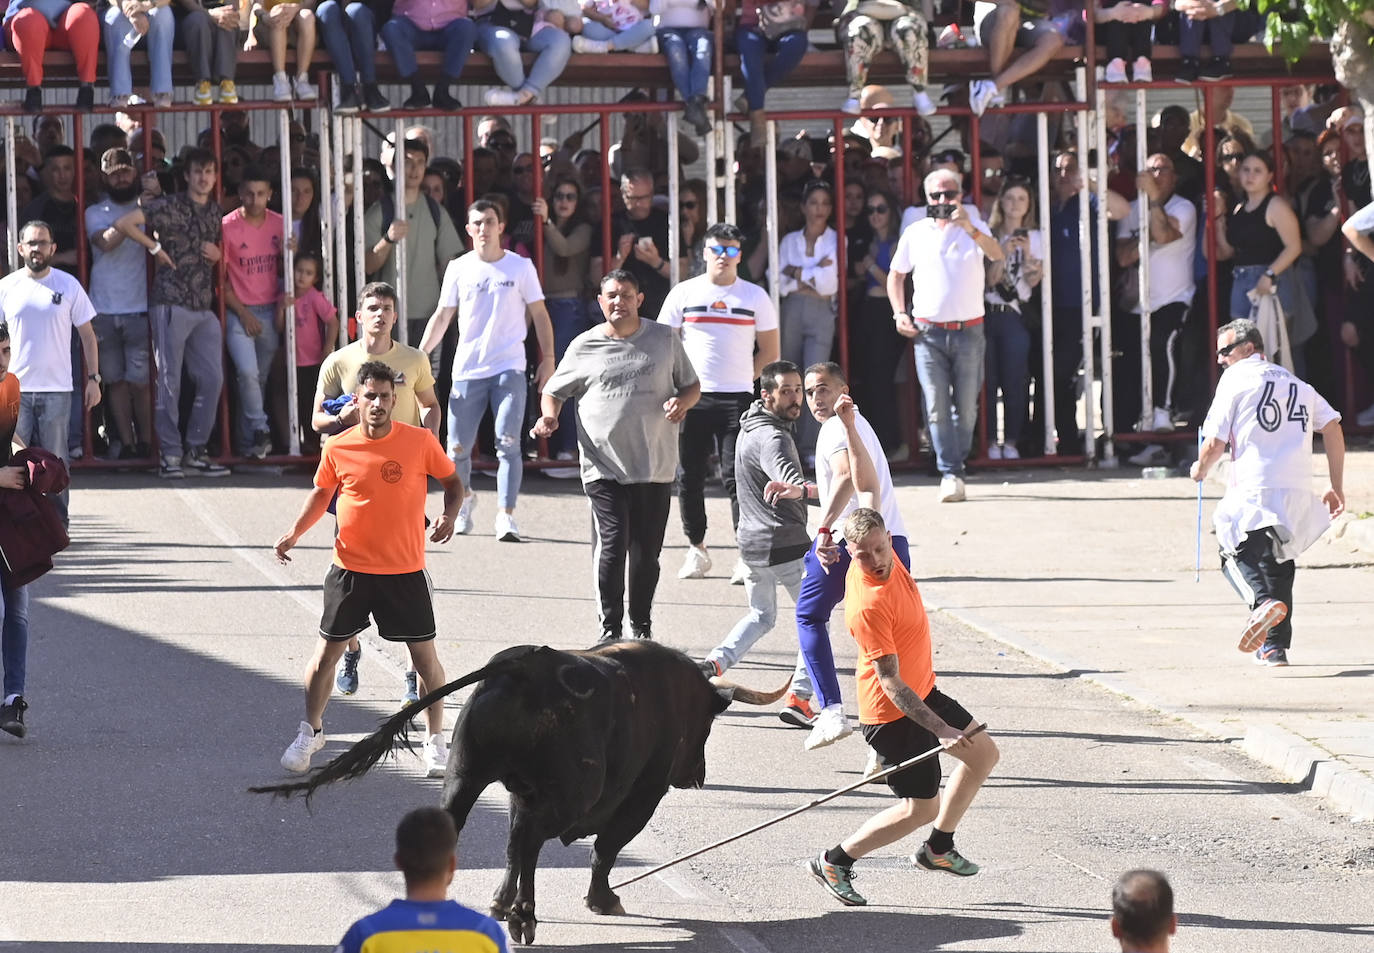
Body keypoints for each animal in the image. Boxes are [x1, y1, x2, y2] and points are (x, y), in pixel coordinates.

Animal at [248, 642, 785, 950]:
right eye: (707, 722)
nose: (696, 775)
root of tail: (530, 667)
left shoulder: (519, 794)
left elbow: (514, 848)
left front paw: (502, 902)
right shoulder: (639, 797)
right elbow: (605, 849)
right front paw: (601, 900)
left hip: (465, 779)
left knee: (480, 835)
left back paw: (488, 909)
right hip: (567, 797)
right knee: (530, 843)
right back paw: (523, 916)